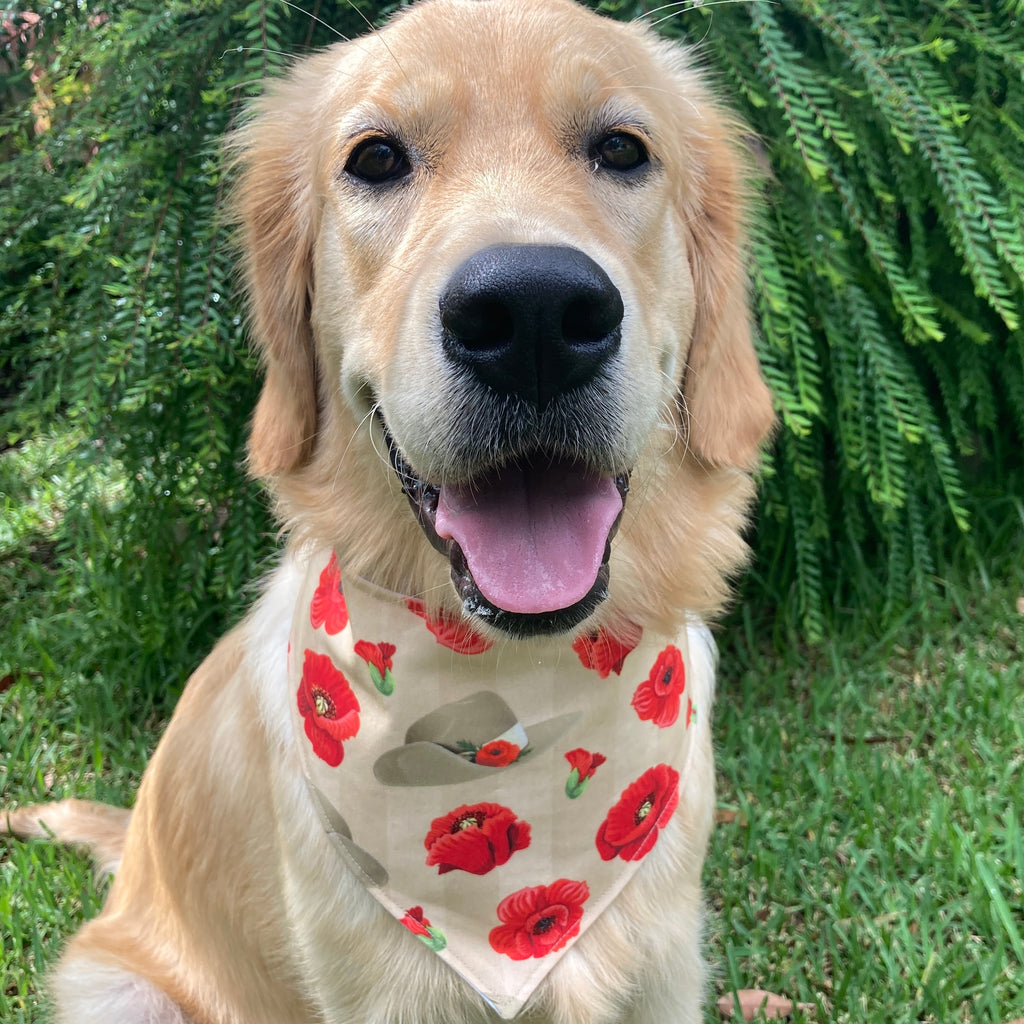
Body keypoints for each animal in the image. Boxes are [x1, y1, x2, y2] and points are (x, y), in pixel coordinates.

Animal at [2, 2, 774, 1024]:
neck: (518, 684)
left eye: (621, 148)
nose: (533, 316)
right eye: (375, 159)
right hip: (120, 987)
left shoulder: (664, 970)